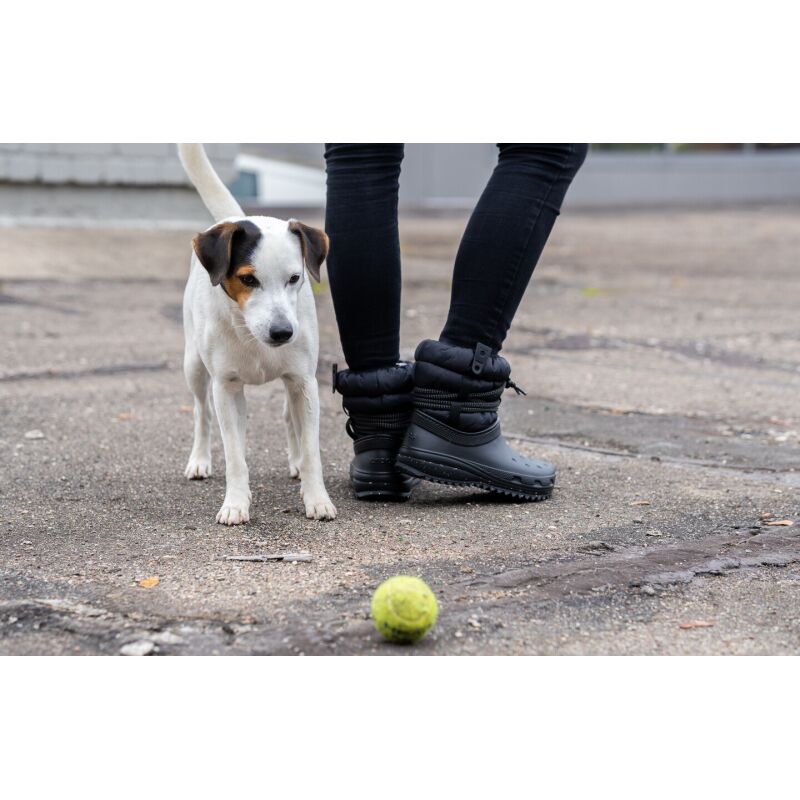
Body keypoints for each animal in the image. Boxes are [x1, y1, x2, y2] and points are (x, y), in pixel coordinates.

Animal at [177, 144, 336, 524]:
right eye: (248, 279)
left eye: (295, 278)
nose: (283, 332)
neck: (252, 335)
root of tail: (236, 217)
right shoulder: (227, 388)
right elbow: (235, 456)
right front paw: (235, 503)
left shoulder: (304, 381)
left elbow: (312, 450)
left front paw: (316, 498)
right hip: (194, 366)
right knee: (201, 412)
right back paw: (199, 460)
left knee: (289, 417)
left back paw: (294, 460)